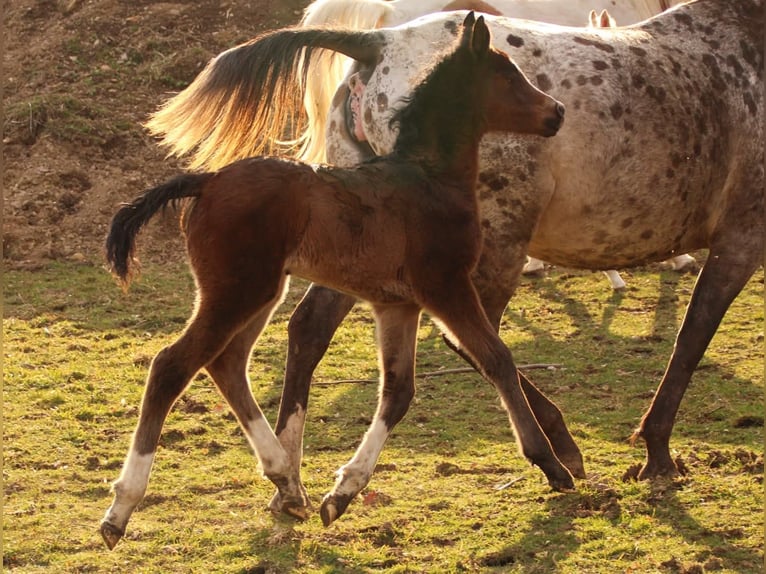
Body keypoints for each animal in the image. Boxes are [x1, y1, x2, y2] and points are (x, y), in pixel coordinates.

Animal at [100, 14, 571, 549]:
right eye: (507, 74)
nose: (556, 112)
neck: (428, 180)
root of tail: (208, 180)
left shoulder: (397, 305)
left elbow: (399, 391)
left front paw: (342, 493)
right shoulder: (446, 286)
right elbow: (497, 358)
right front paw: (551, 464)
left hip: (259, 292)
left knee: (226, 363)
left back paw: (286, 480)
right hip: (238, 291)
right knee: (171, 366)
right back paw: (121, 508)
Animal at [138, 0, 764, 519]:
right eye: (509, 76)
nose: (556, 113)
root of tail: (375, 45)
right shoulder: (740, 237)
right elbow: (690, 339)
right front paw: (653, 453)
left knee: (305, 331)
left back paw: (289, 482)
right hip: (491, 248)